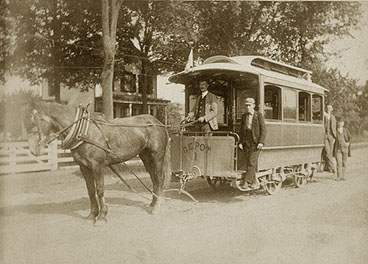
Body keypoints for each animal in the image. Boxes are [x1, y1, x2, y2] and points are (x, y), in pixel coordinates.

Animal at [23, 101, 170, 225]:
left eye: (38, 120)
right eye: (25, 123)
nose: (34, 150)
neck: (84, 131)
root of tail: (157, 122)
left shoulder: (97, 166)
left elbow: (100, 190)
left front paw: (102, 216)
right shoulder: (84, 167)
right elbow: (91, 191)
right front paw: (92, 215)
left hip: (157, 156)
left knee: (159, 178)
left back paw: (157, 207)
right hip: (146, 157)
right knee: (154, 179)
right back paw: (152, 204)